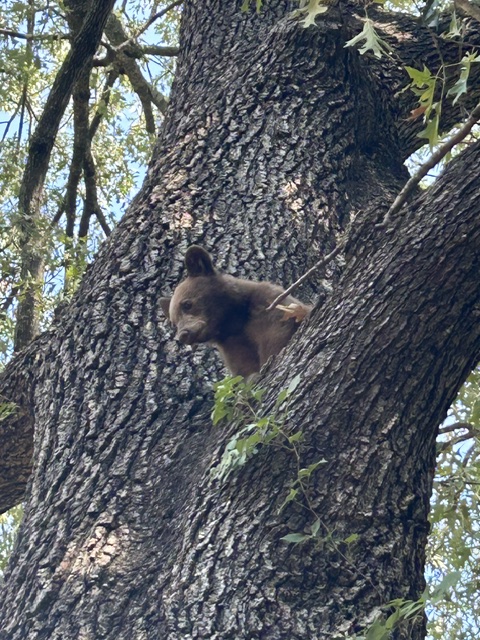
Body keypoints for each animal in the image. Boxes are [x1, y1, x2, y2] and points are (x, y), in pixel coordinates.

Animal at [160, 246, 312, 377]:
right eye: (173, 323)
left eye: (187, 304)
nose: (183, 334)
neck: (233, 320)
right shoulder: (232, 343)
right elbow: (244, 368)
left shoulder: (271, 308)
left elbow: (276, 340)